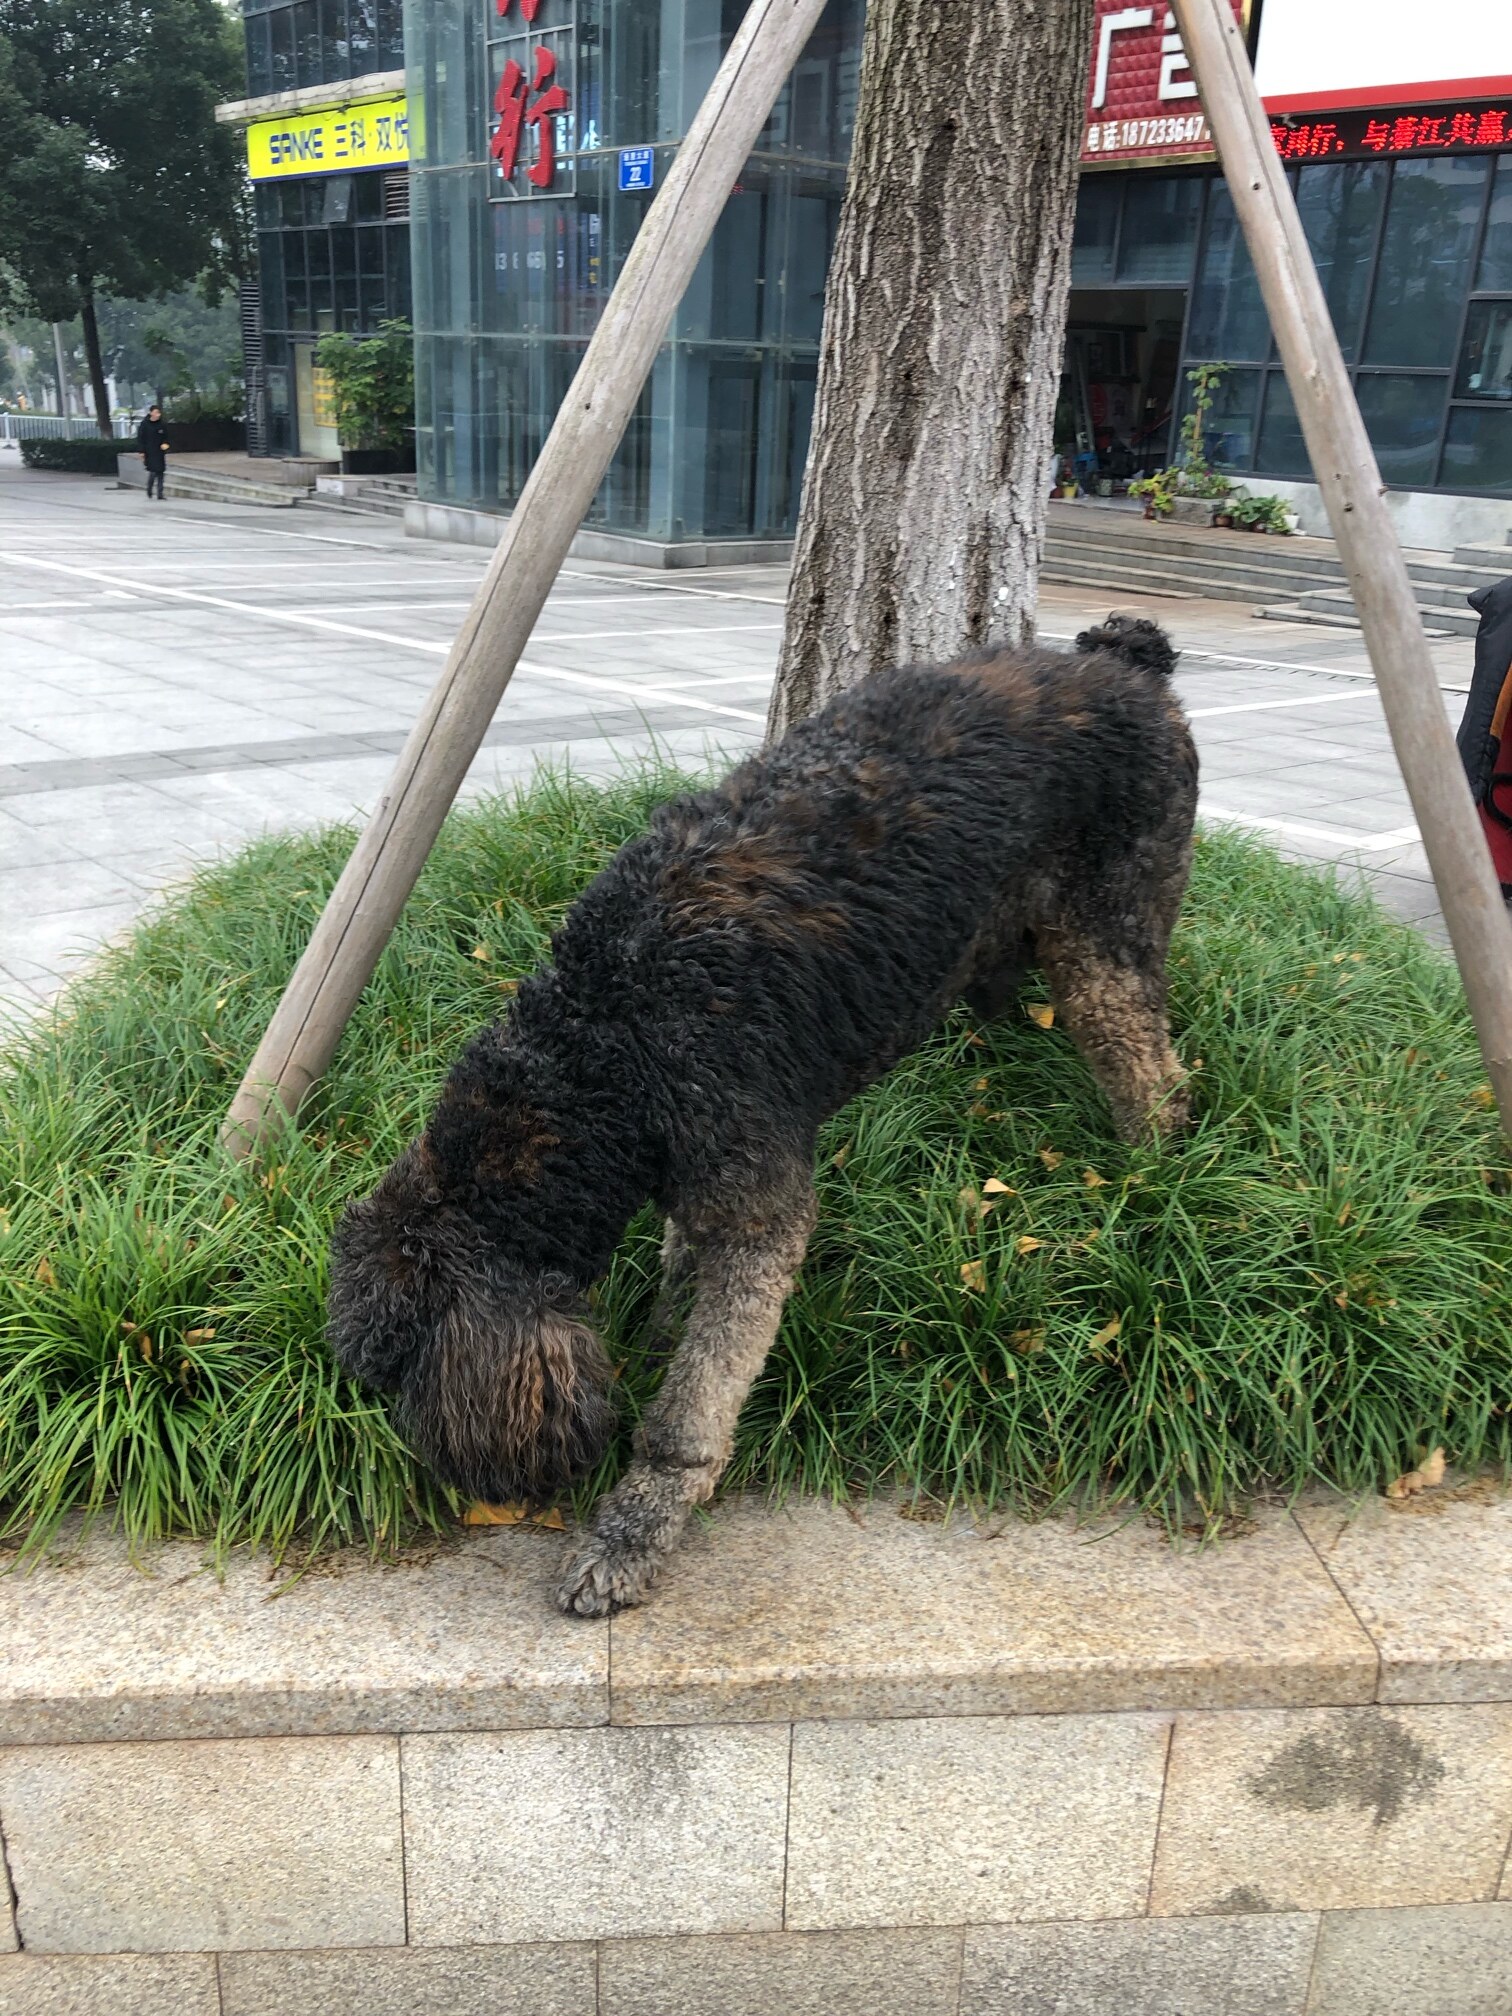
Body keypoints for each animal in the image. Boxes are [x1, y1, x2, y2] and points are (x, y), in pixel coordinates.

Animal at [327, 616, 1198, 1615]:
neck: (602, 1042)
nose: (451, 1488)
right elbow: (678, 1275)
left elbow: (690, 1410)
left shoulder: (758, 1215)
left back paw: (1153, 1184)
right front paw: (660, 1328)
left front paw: (631, 1532)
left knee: (1154, 1077)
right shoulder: (695, 1172)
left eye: (399, 1376)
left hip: (1107, 939)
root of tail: (1124, 660)